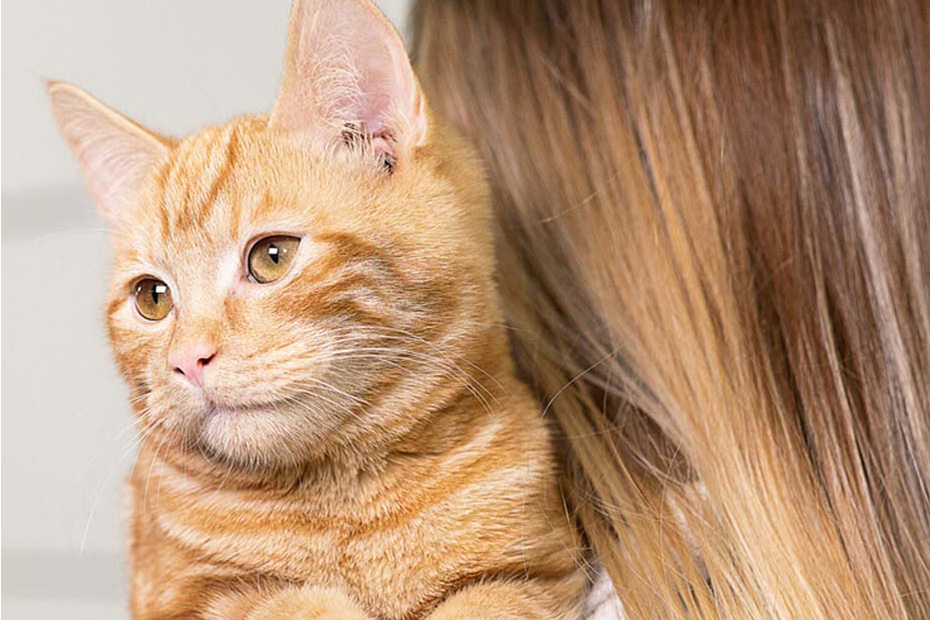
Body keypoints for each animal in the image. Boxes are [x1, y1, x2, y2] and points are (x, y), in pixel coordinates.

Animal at [47, 0, 584, 616]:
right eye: (152, 298)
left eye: (272, 257)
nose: (187, 360)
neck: (346, 498)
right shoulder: (190, 597)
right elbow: (292, 605)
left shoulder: (535, 572)